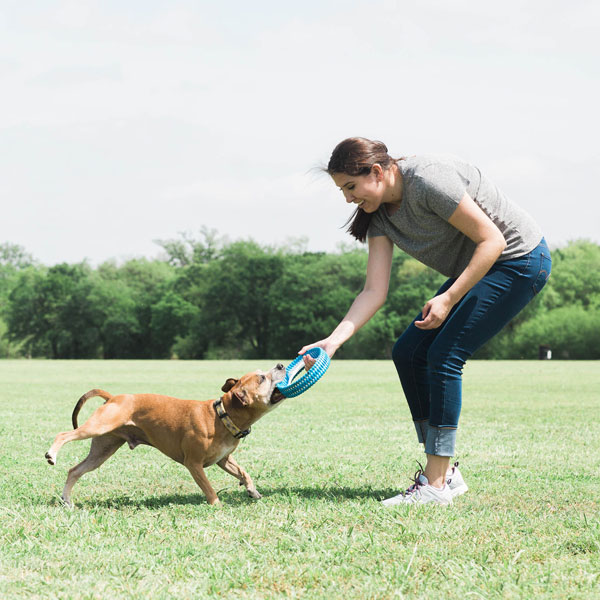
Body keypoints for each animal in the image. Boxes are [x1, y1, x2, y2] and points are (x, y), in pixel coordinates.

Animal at [45, 360, 286, 506]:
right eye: (262, 378)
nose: (281, 364)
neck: (221, 415)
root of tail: (113, 398)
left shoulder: (223, 459)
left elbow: (243, 472)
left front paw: (252, 490)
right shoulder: (194, 464)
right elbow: (208, 487)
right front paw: (217, 505)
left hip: (102, 450)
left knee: (75, 470)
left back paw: (67, 500)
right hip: (97, 427)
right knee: (63, 435)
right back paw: (52, 454)